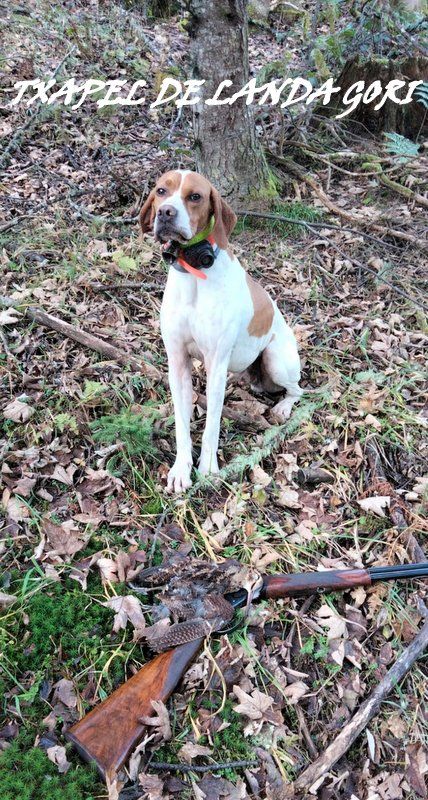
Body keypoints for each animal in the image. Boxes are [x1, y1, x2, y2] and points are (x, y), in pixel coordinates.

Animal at [140, 170, 300, 494]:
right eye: (161, 191)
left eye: (195, 196)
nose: (166, 213)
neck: (194, 273)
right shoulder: (177, 361)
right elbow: (182, 423)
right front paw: (181, 468)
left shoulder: (215, 364)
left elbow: (212, 424)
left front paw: (209, 469)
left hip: (277, 360)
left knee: (299, 389)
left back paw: (284, 408)